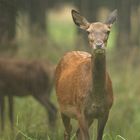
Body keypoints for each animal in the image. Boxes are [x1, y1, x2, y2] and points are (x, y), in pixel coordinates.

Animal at [54, 9, 117, 139]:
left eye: (108, 31)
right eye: (88, 31)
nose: (99, 44)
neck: (96, 98)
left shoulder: (105, 111)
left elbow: (98, 136)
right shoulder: (81, 111)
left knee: (77, 132)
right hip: (62, 106)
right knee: (67, 131)